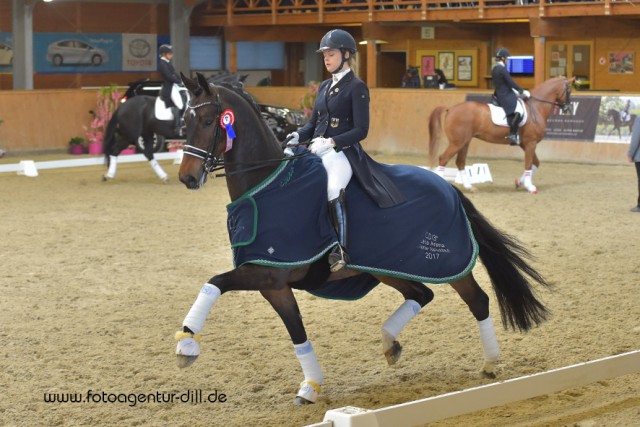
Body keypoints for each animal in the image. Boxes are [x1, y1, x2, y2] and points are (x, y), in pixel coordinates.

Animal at [174, 72, 552, 406]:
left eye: (207, 121)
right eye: (184, 122)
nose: (187, 178)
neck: (266, 185)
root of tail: (448, 188)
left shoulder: (267, 271)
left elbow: (214, 283)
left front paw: (186, 345)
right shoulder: (275, 284)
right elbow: (297, 333)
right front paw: (310, 387)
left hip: (446, 263)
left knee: (477, 300)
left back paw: (489, 364)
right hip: (388, 267)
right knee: (422, 294)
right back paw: (390, 343)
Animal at [428, 77, 572, 194]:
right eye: (569, 91)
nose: (568, 109)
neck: (536, 107)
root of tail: (450, 109)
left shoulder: (525, 144)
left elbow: (535, 163)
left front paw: (520, 182)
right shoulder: (531, 143)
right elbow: (528, 164)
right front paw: (530, 187)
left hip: (464, 142)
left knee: (460, 162)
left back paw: (470, 187)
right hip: (457, 142)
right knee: (443, 159)